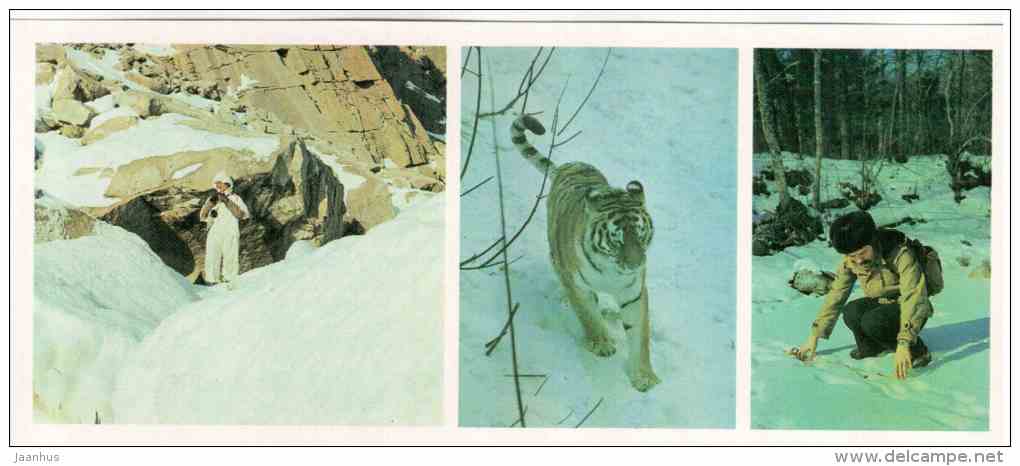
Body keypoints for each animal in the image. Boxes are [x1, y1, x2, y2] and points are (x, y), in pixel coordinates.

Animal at [510, 114, 660, 392]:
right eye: (617, 240)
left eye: (640, 234)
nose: (635, 264)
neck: (612, 272)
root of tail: (569, 166)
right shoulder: (577, 284)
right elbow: (588, 314)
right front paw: (601, 343)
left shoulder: (634, 294)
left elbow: (639, 336)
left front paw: (644, 377)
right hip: (556, 256)